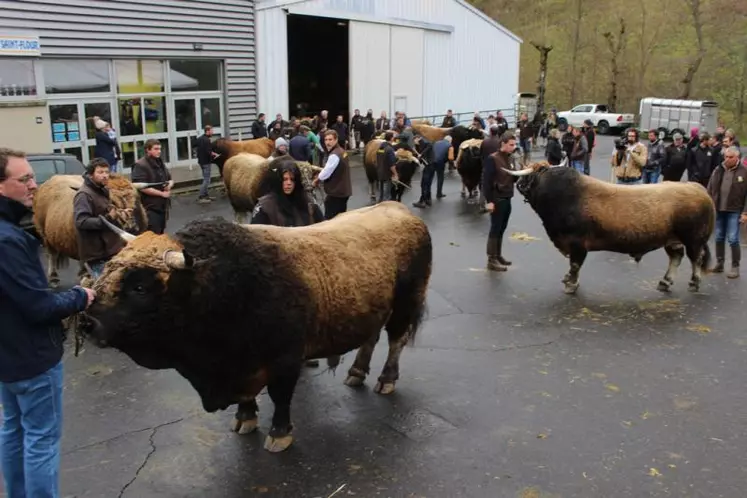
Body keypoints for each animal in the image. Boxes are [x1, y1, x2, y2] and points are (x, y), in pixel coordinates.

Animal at [79, 201, 432, 452]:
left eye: (139, 287)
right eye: (106, 269)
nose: (86, 321)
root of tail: (399, 209)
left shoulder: (286, 359)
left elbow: (280, 396)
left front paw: (279, 433)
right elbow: (248, 399)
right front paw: (245, 418)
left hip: (406, 303)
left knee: (396, 341)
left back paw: (386, 379)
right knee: (370, 338)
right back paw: (357, 372)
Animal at [506, 163, 716, 294]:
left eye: (531, 177)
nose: (518, 184)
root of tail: (697, 188)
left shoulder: (577, 244)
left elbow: (575, 265)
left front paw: (571, 284)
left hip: (694, 239)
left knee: (696, 259)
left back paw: (694, 282)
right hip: (672, 239)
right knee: (676, 257)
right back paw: (665, 282)